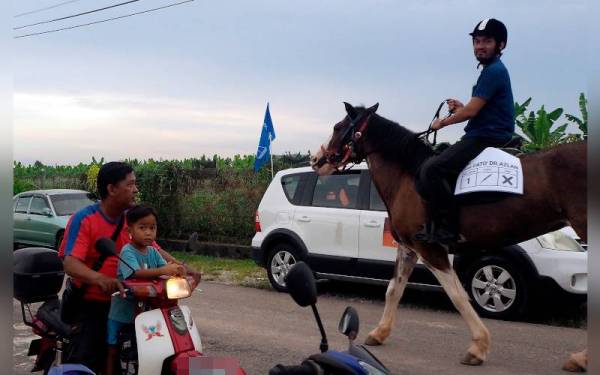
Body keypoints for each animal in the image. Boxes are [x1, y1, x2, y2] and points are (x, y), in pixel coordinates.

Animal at [312, 101, 588, 372]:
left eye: (338, 127)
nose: (316, 159)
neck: (408, 177)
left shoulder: (430, 249)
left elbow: (457, 295)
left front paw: (478, 347)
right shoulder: (409, 248)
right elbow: (393, 290)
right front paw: (380, 333)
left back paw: (582, 358)